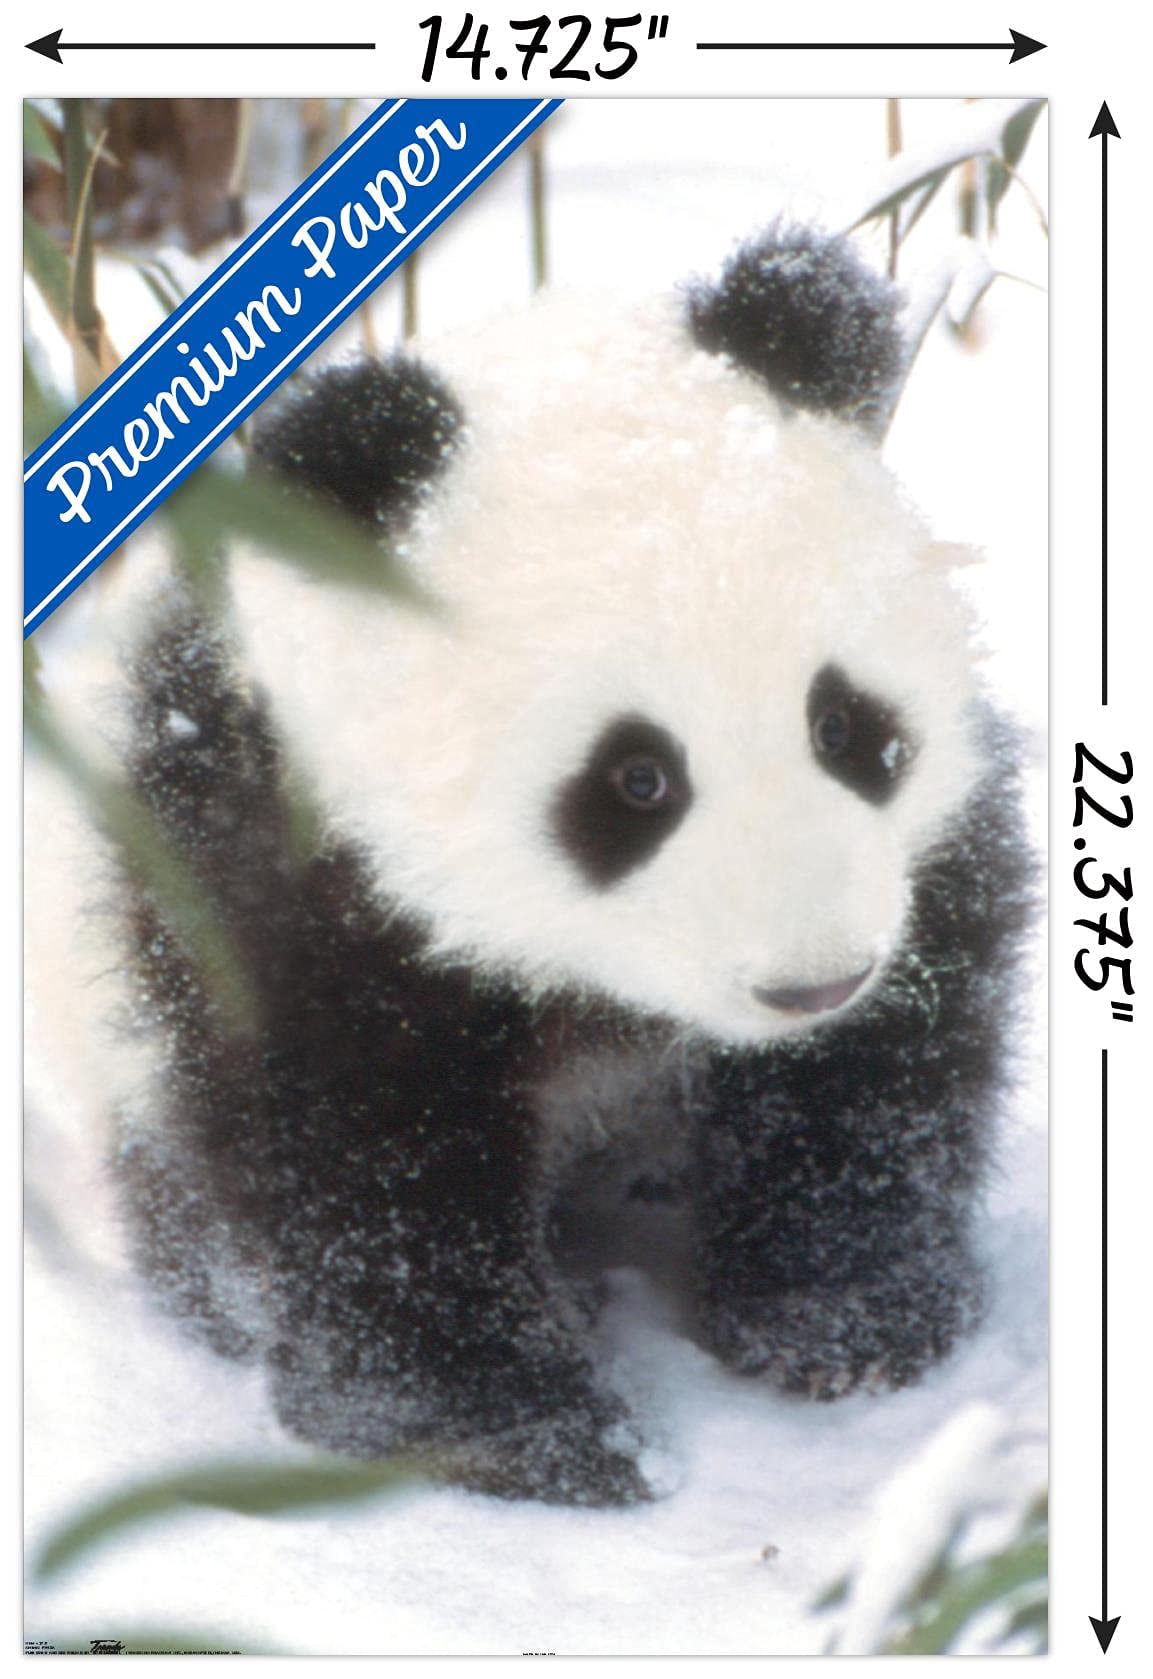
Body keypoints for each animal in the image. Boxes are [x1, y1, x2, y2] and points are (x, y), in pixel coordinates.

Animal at [115, 224, 1033, 1507]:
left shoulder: (917, 863)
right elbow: (356, 1164)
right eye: (635, 778)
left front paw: (846, 1318)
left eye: (844, 725)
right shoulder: (278, 867)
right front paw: (520, 1432)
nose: (811, 983)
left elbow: (884, 1068)